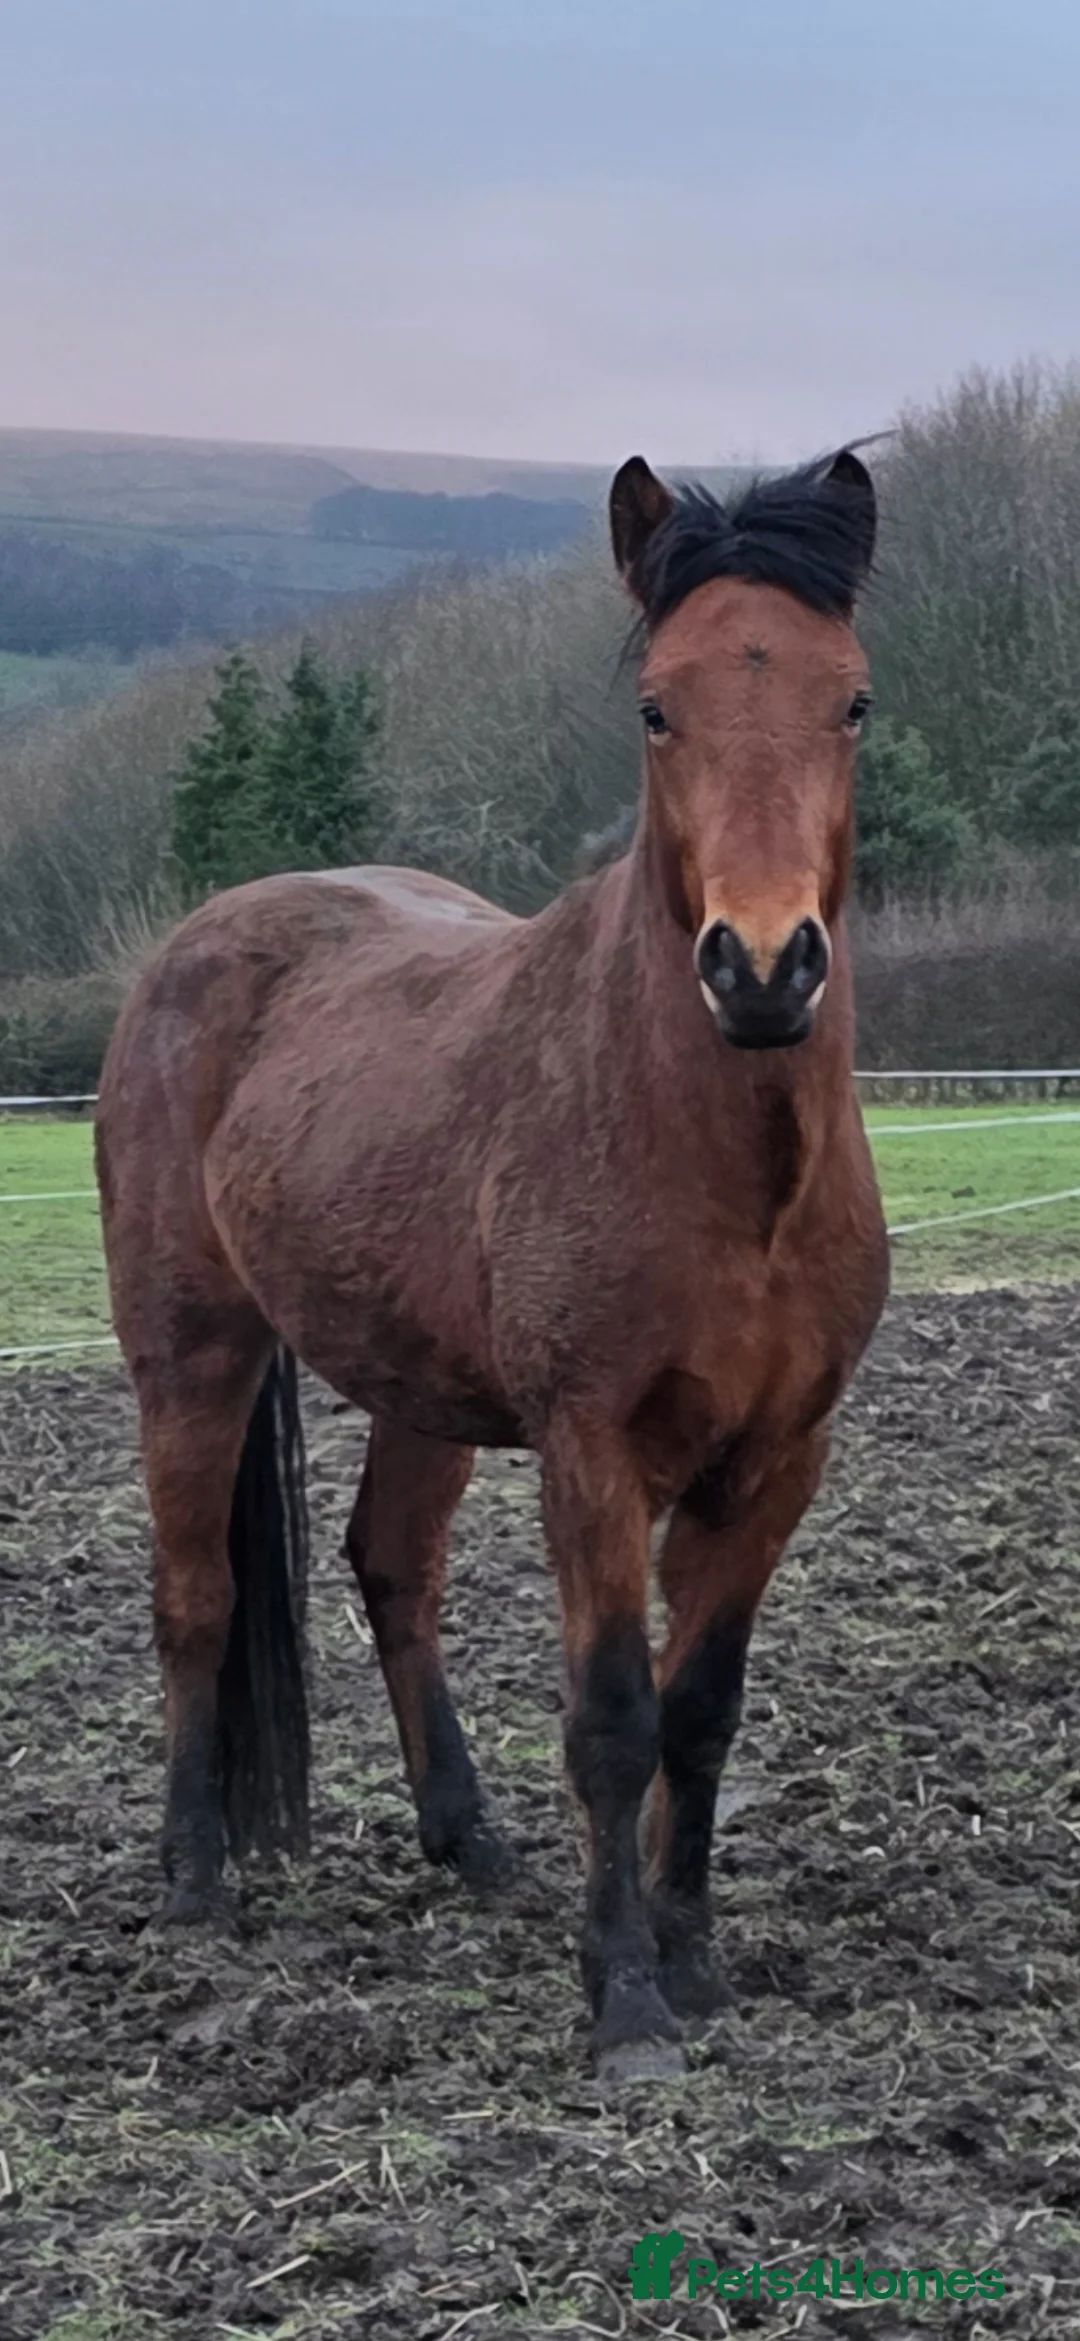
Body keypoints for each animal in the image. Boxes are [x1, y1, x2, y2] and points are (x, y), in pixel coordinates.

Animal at [95, 447, 888, 2083]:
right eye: (657, 706)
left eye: (851, 701)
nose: (761, 967)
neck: (733, 1173)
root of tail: (198, 943)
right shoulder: (594, 1451)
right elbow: (615, 1717)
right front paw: (627, 2001)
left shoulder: (780, 1461)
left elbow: (702, 1710)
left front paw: (695, 1961)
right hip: (191, 1353)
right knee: (194, 1595)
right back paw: (196, 1877)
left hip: (422, 1391)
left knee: (393, 1569)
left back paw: (469, 1842)